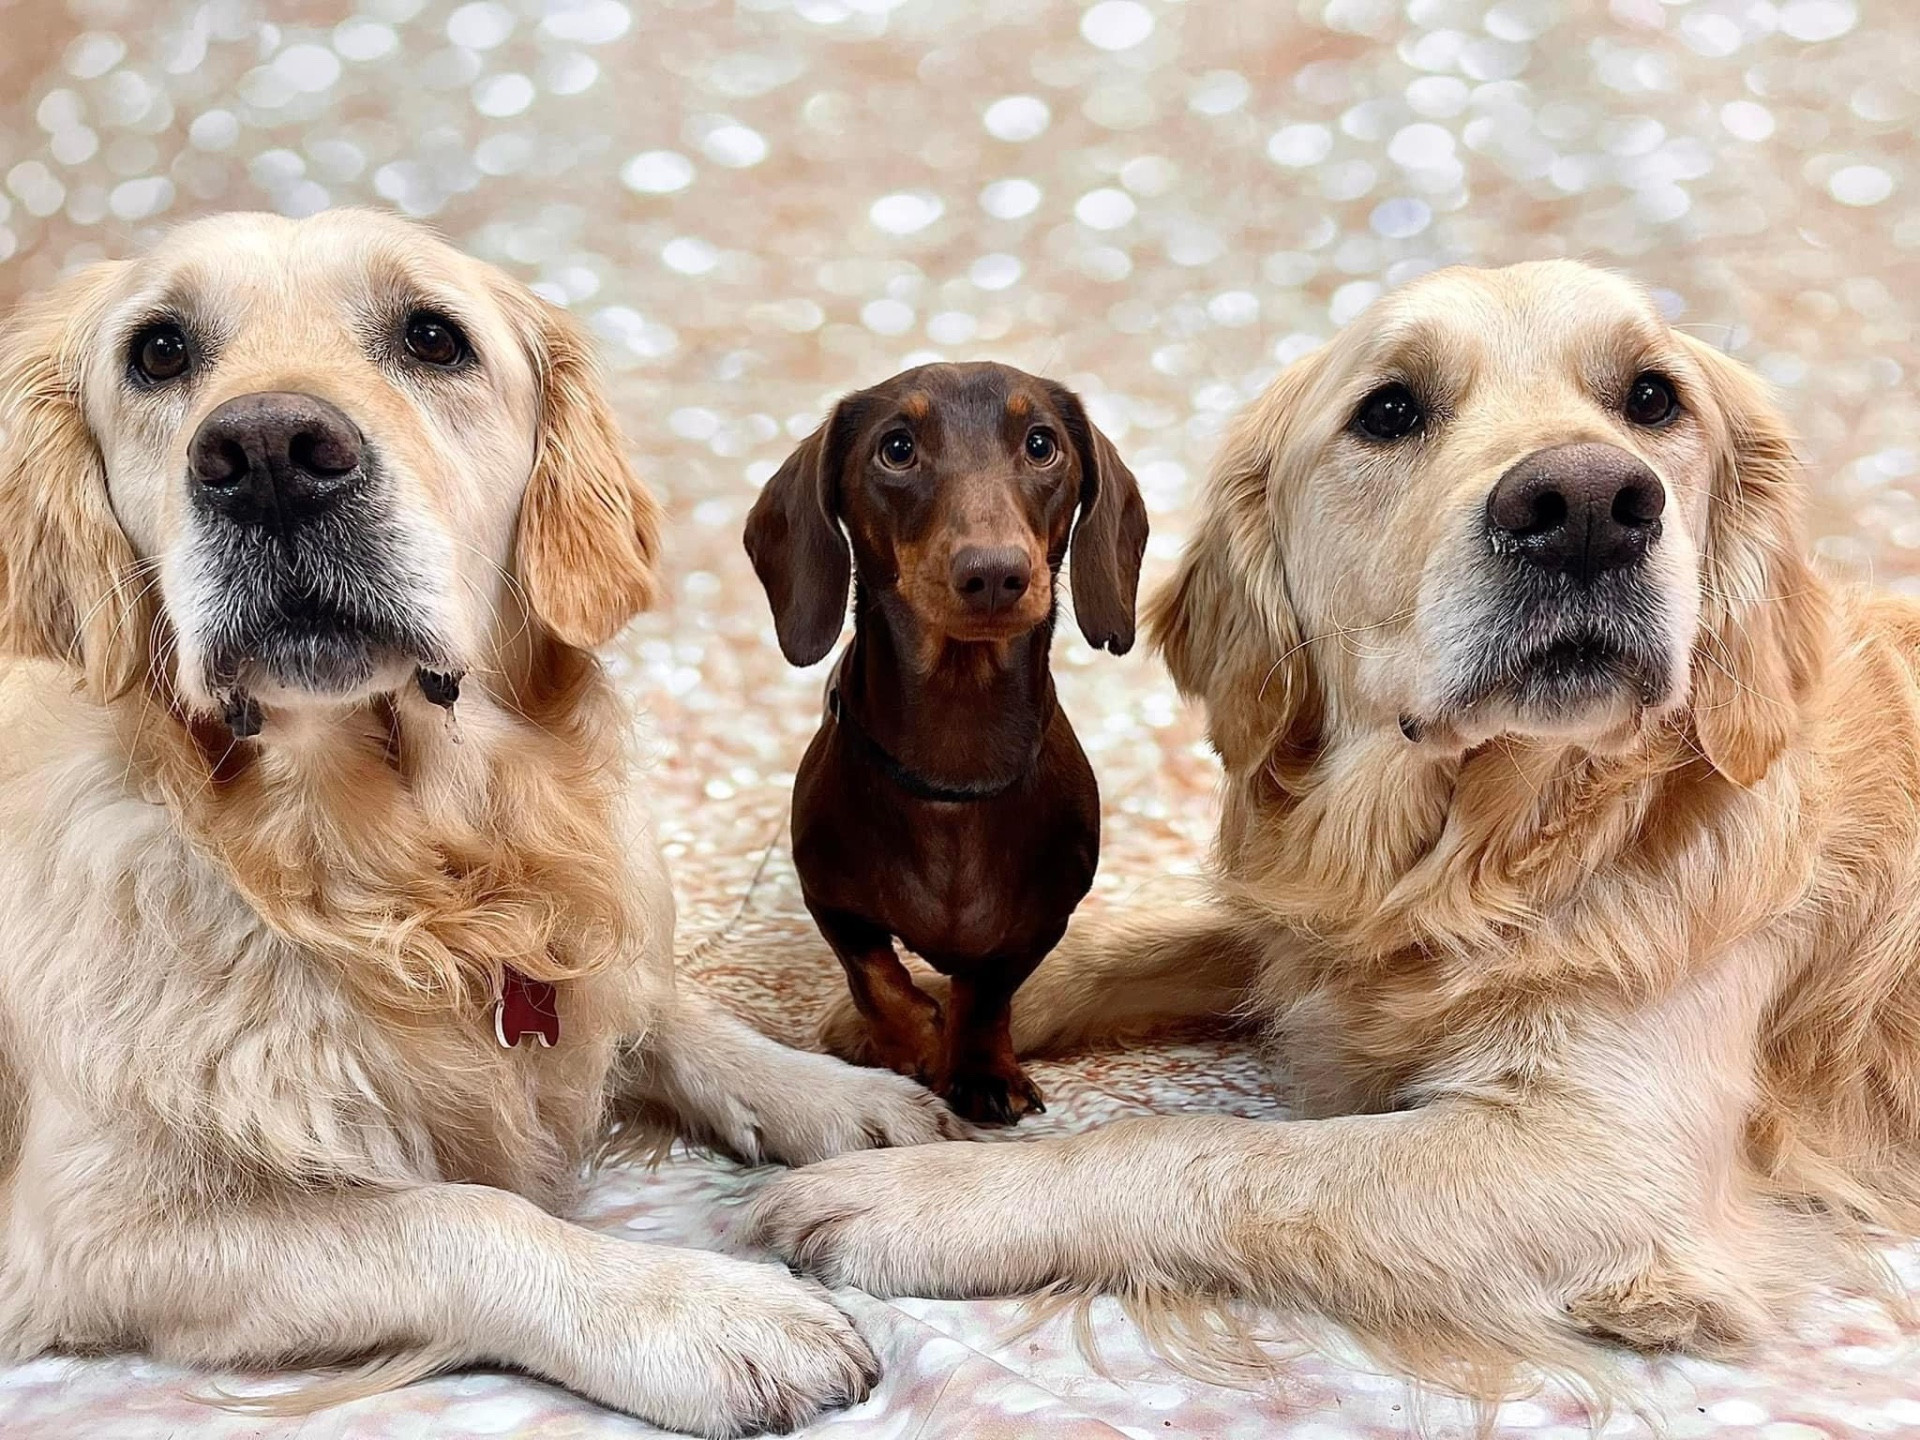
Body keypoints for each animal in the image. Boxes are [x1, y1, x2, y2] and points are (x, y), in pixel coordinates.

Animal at [0, 209, 961, 1438]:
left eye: (431, 336)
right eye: (159, 352)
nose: (267, 455)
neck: (404, 873)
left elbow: (667, 1010)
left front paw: (842, 1101)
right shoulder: (95, 1230)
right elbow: (460, 1215)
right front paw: (701, 1313)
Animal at [743, 362, 1147, 1124]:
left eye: (1041, 444)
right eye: (897, 448)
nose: (993, 574)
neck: (955, 762)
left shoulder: (1044, 918)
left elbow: (987, 992)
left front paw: (982, 1069)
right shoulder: (829, 898)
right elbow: (875, 976)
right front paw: (917, 1044)